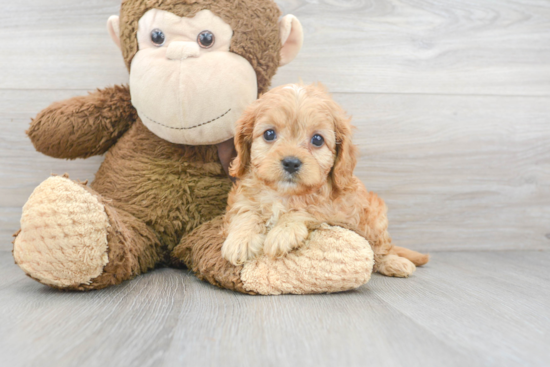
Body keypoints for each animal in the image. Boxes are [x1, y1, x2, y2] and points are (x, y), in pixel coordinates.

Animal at [222, 83, 430, 278]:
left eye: (317, 139)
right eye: (269, 134)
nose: (291, 163)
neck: (285, 194)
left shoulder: (337, 211)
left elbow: (307, 210)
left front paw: (283, 232)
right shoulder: (243, 196)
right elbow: (247, 211)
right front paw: (241, 240)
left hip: (375, 217)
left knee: (380, 249)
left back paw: (395, 262)